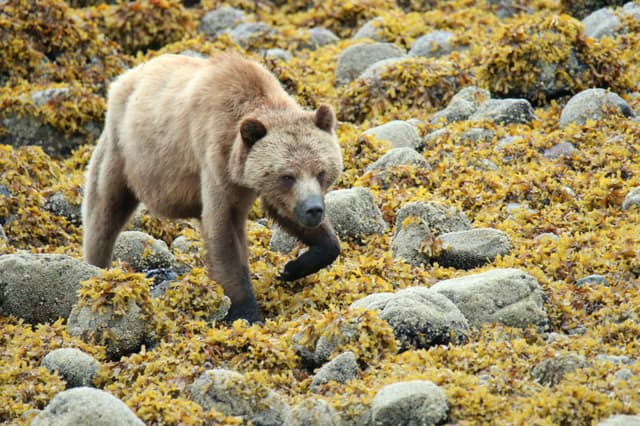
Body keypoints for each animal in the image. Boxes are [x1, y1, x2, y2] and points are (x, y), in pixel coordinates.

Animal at [82, 52, 343, 323]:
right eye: (287, 176)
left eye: (321, 171)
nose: (313, 209)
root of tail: (123, 78)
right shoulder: (215, 160)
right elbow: (223, 232)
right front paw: (247, 312)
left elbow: (293, 219)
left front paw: (293, 267)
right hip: (123, 152)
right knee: (104, 213)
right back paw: (97, 267)